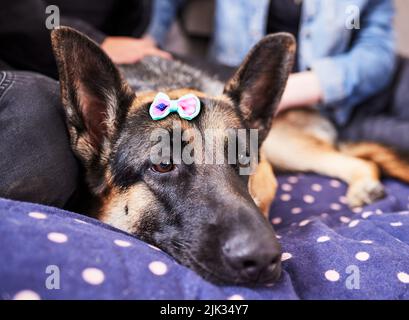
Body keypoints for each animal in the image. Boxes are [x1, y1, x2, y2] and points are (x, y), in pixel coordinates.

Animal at [50, 28, 408, 284]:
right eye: (163, 164)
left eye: (245, 159)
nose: (263, 260)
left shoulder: (266, 177)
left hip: (285, 147)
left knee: (356, 160)